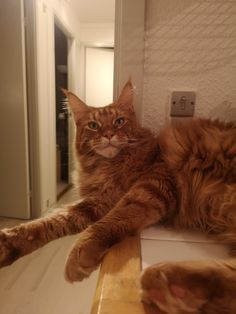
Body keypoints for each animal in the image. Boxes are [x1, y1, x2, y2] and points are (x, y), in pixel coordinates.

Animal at [0, 82, 236, 312]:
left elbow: (112, 219)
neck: (107, 167)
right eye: (94, 125)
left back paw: (172, 287)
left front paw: (80, 253)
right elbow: (50, 222)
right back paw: (175, 290)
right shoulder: (99, 202)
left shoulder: (153, 184)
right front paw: (9, 243)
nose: (108, 134)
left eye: (119, 121)